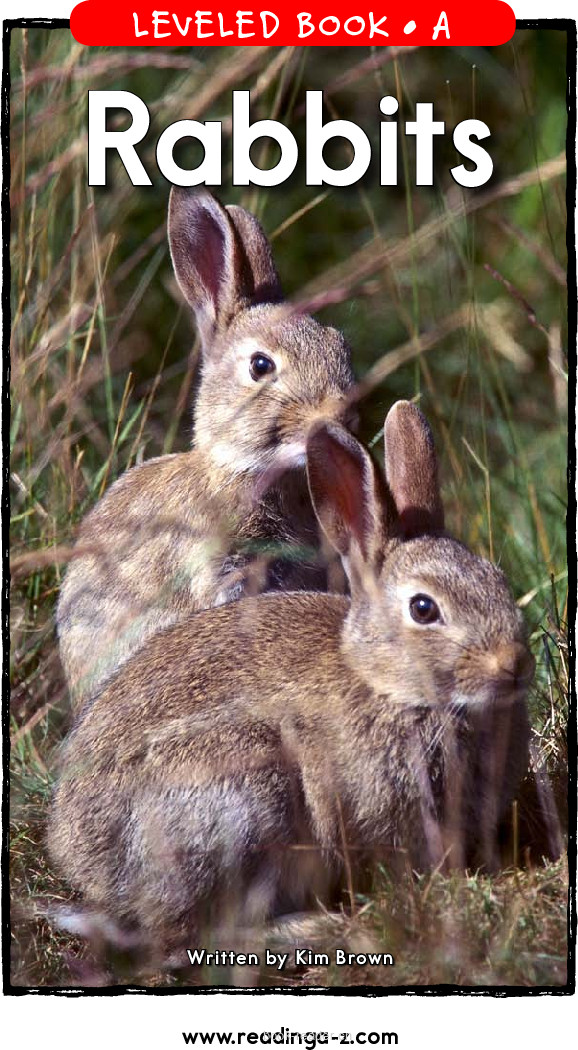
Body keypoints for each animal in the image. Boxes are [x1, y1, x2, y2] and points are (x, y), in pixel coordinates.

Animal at [48, 401, 534, 963]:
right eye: (423, 608)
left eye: (499, 580)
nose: (514, 663)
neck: (386, 683)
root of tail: (82, 861)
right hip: (244, 793)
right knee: (185, 934)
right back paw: (312, 927)